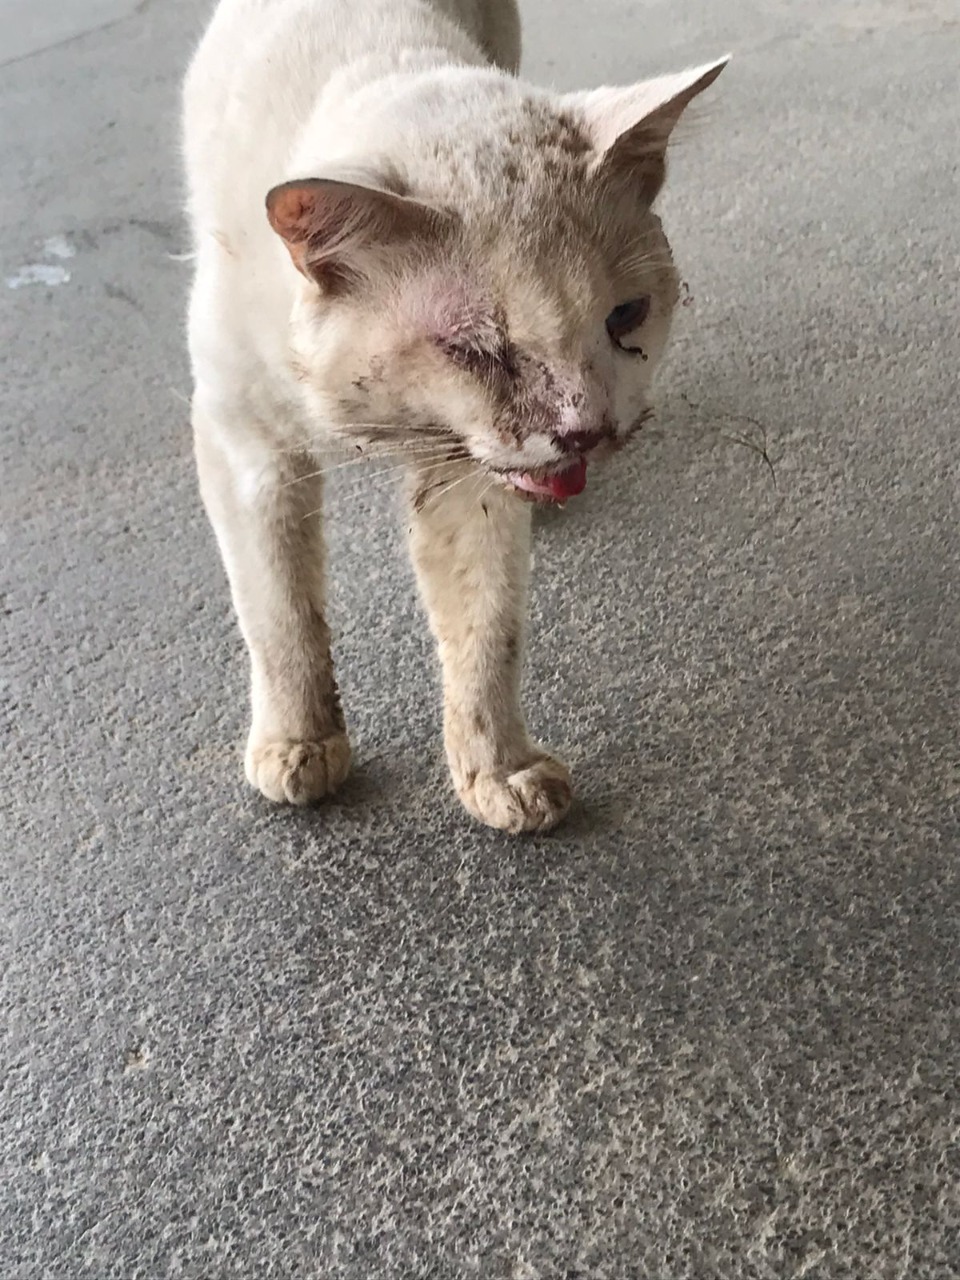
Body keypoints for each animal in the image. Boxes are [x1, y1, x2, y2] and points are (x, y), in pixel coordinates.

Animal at [181, 0, 727, 834]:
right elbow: (280, 613)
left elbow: (486, 631)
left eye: (627, 316)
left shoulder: (465, 482)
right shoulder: (247, 449)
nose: (586, 431)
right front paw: (298, 745)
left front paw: (500, 774)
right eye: (475, 350)